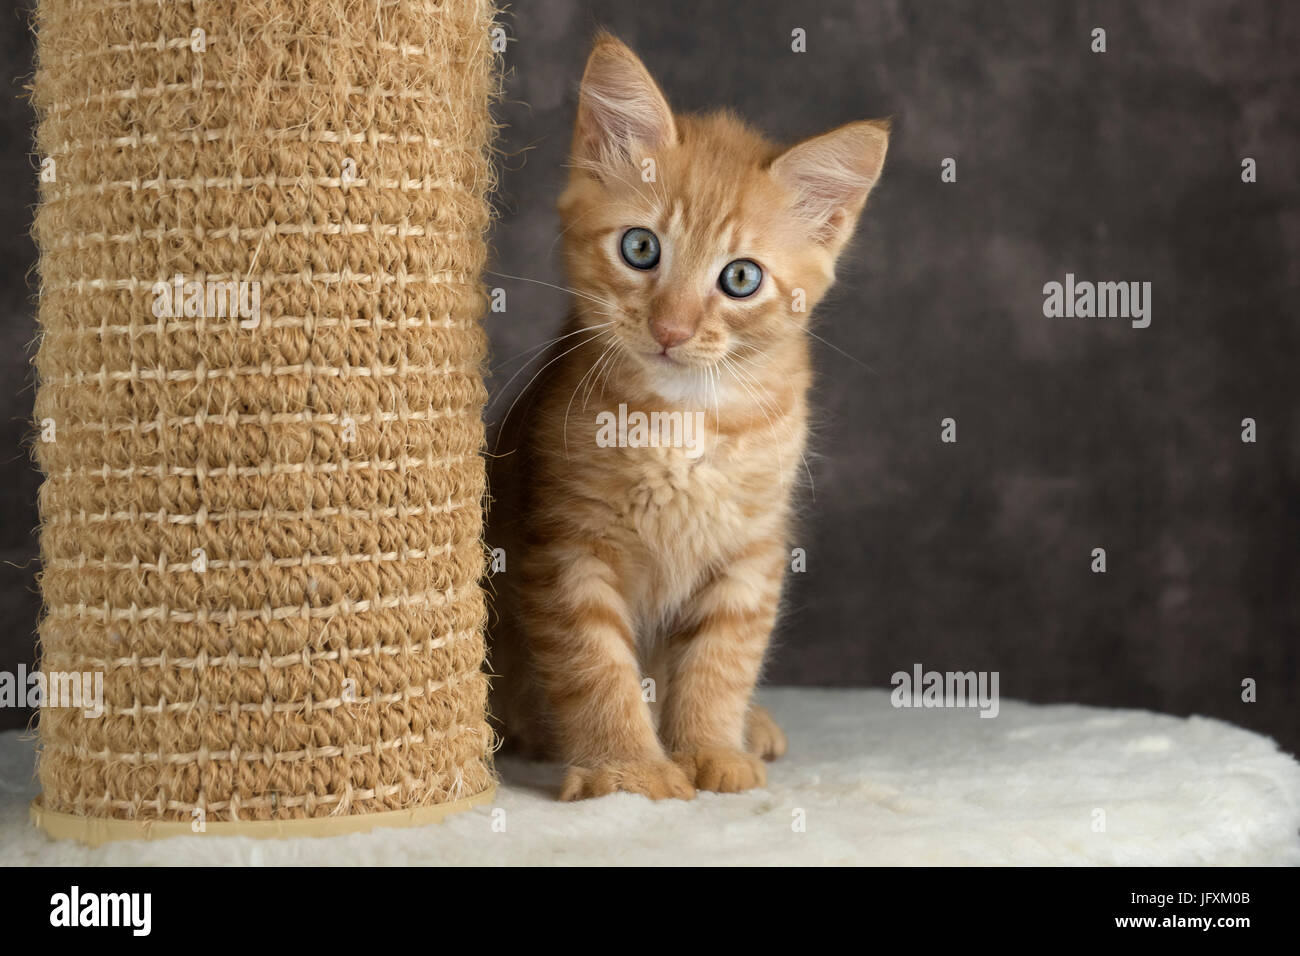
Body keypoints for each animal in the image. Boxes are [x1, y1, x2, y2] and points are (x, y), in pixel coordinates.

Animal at [488, 33, 883, 801]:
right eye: (641, 248)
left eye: (740, 278)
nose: (671, 328)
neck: (683, 420)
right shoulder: (567, 546)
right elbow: (596, 666)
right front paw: (628, 768)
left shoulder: (752, 550)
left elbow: (720, 660)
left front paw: (709, 748)